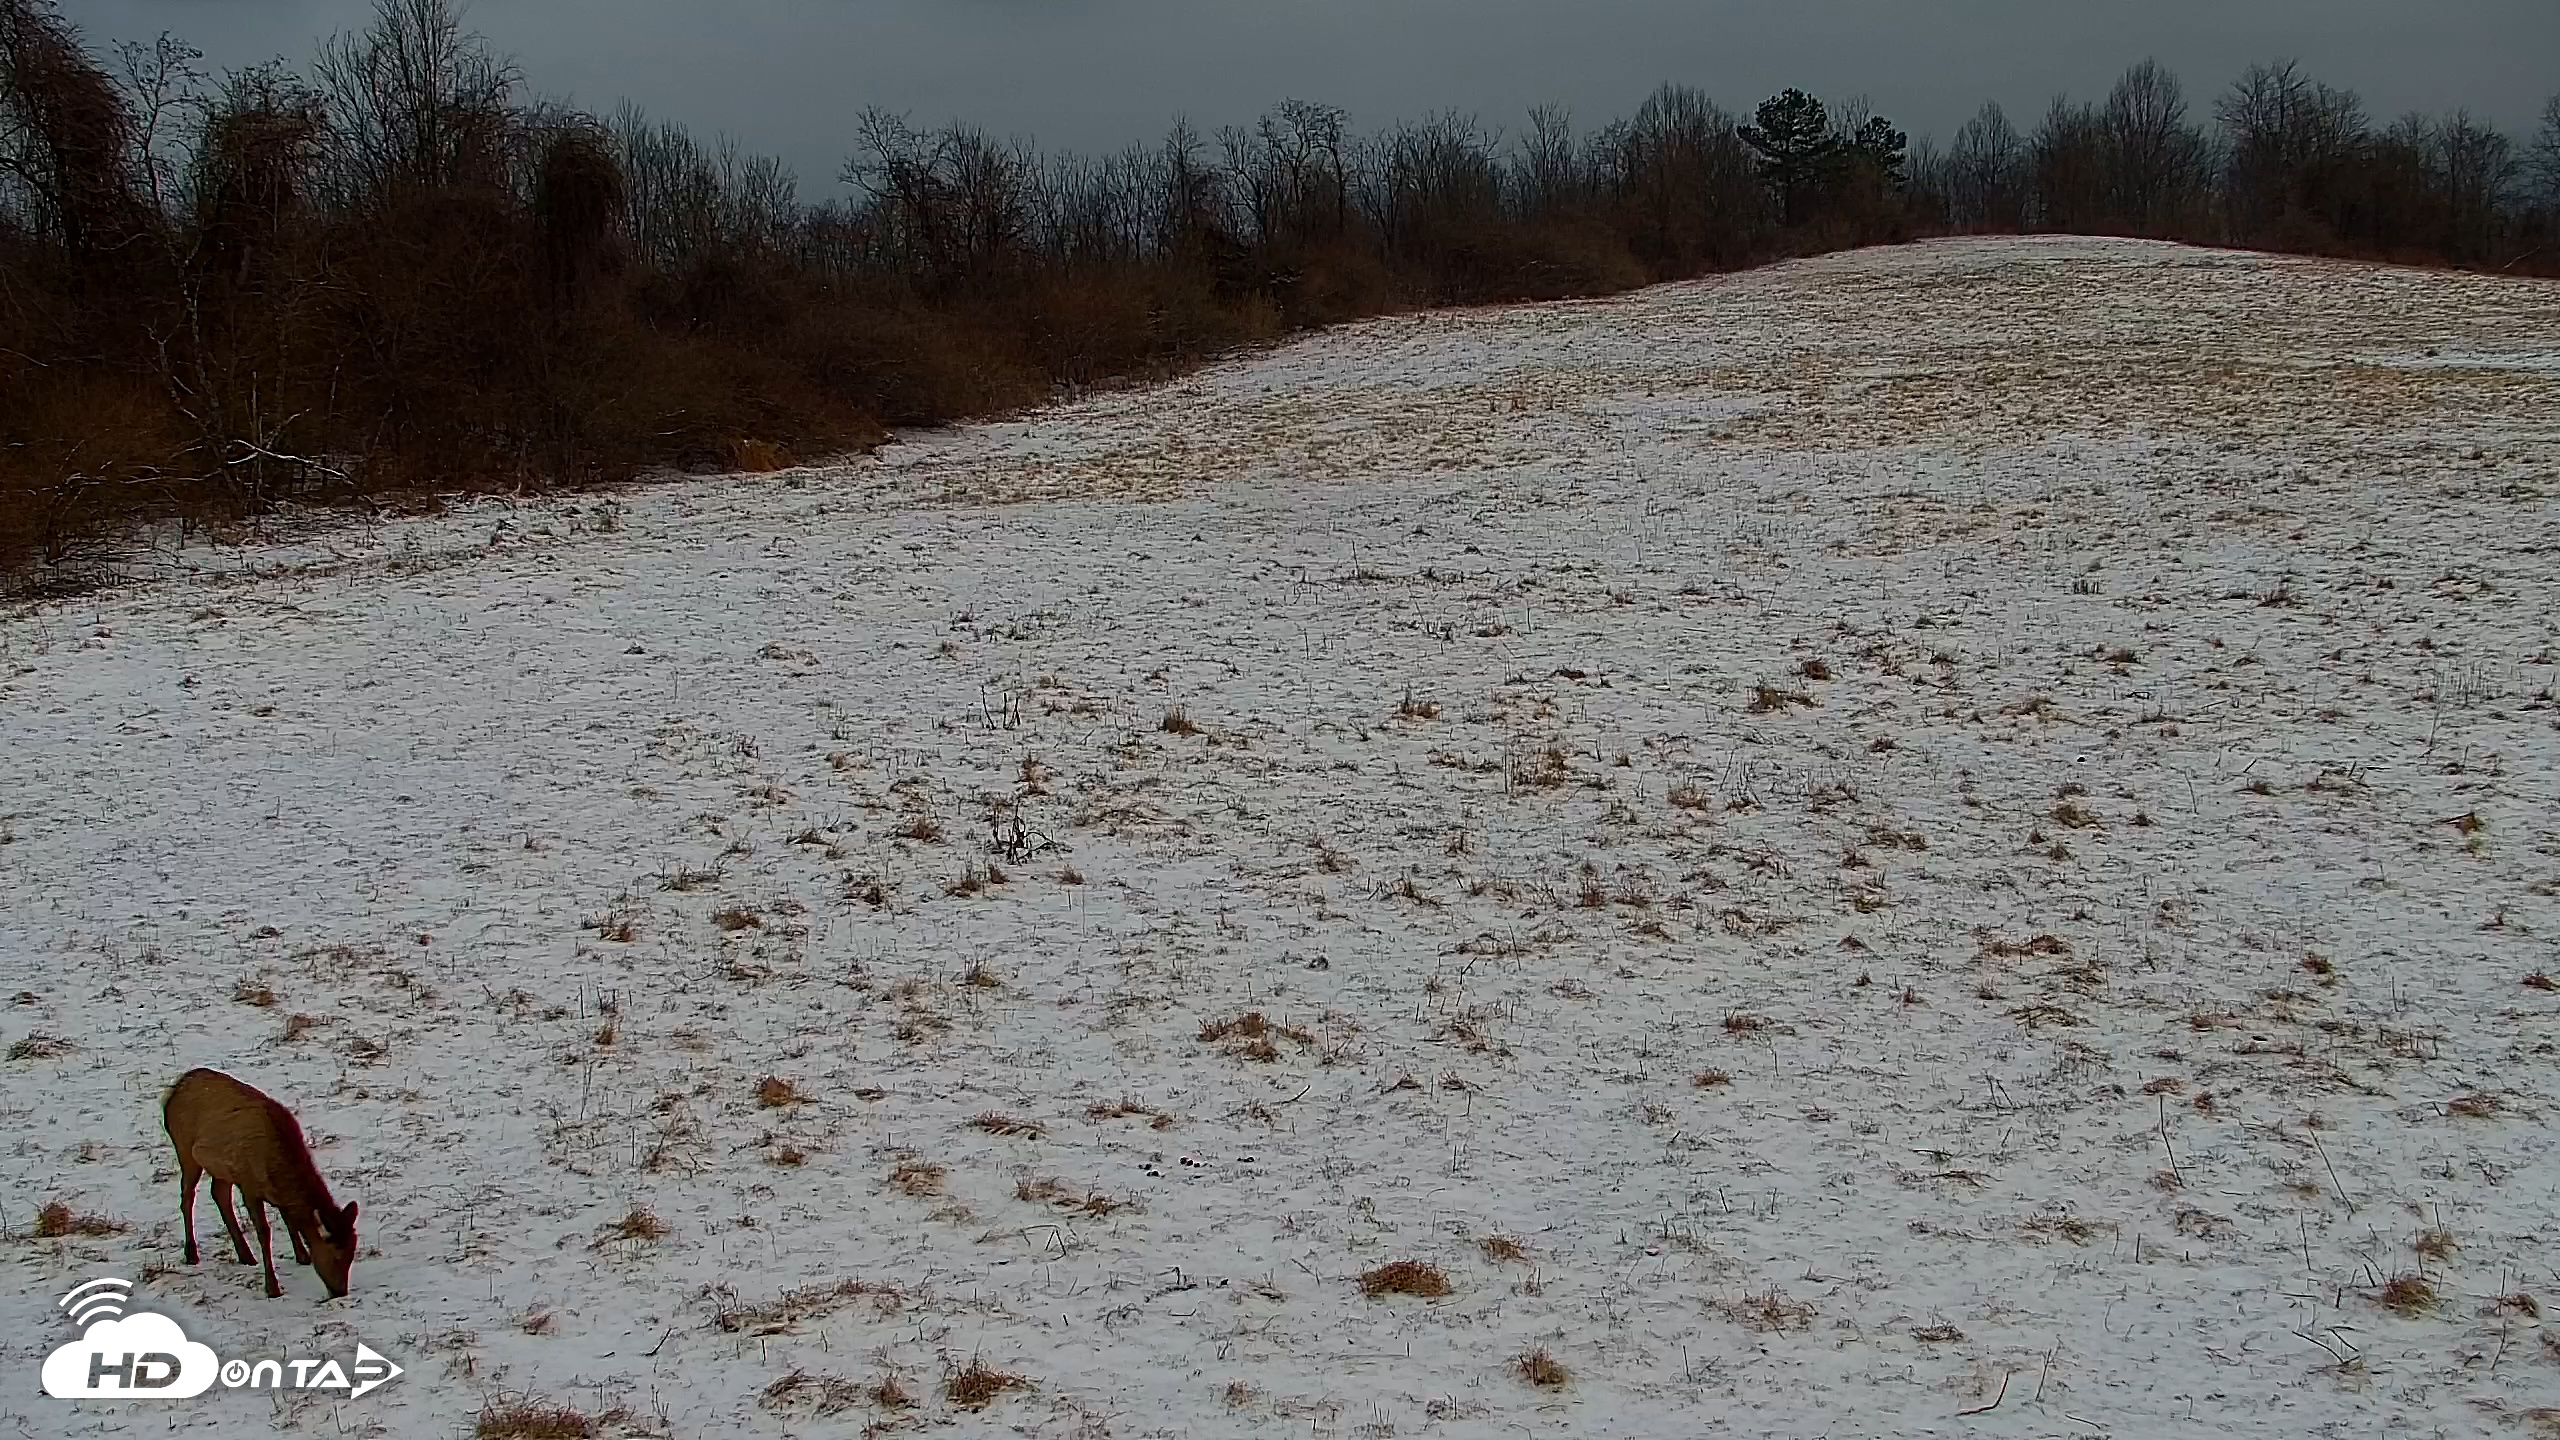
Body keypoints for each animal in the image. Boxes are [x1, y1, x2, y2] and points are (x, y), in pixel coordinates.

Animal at [163, 1068, 360, 1299]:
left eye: (352, 1254)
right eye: (336, 1255)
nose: (340, 1292)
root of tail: (171, 1092)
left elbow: (289, 1220)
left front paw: (302, 1256)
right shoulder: (249, 1185)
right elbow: (264, 1232)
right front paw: (272, 1287)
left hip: (222, 1168)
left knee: (219, 1194)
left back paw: (245, 1255)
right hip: (185, 1149)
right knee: (188, 1197)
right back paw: (192, 1254)